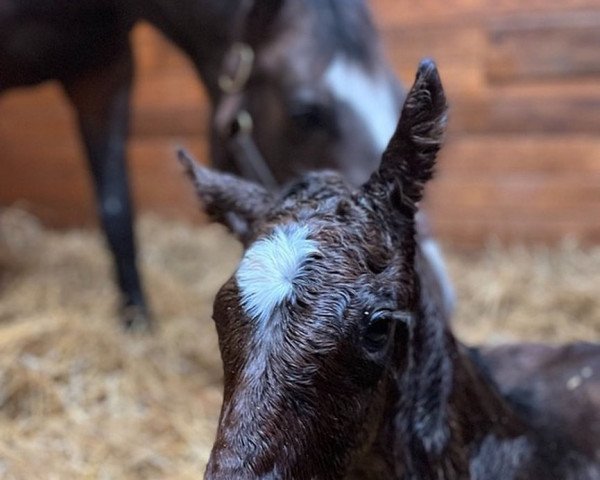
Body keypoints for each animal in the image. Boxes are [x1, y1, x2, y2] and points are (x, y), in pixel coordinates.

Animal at [0, 0, 450, 328]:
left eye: (395, 93)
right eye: (305, 113)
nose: (437, 294)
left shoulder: (104, 74)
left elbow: (116, 210)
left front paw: (138, 322)